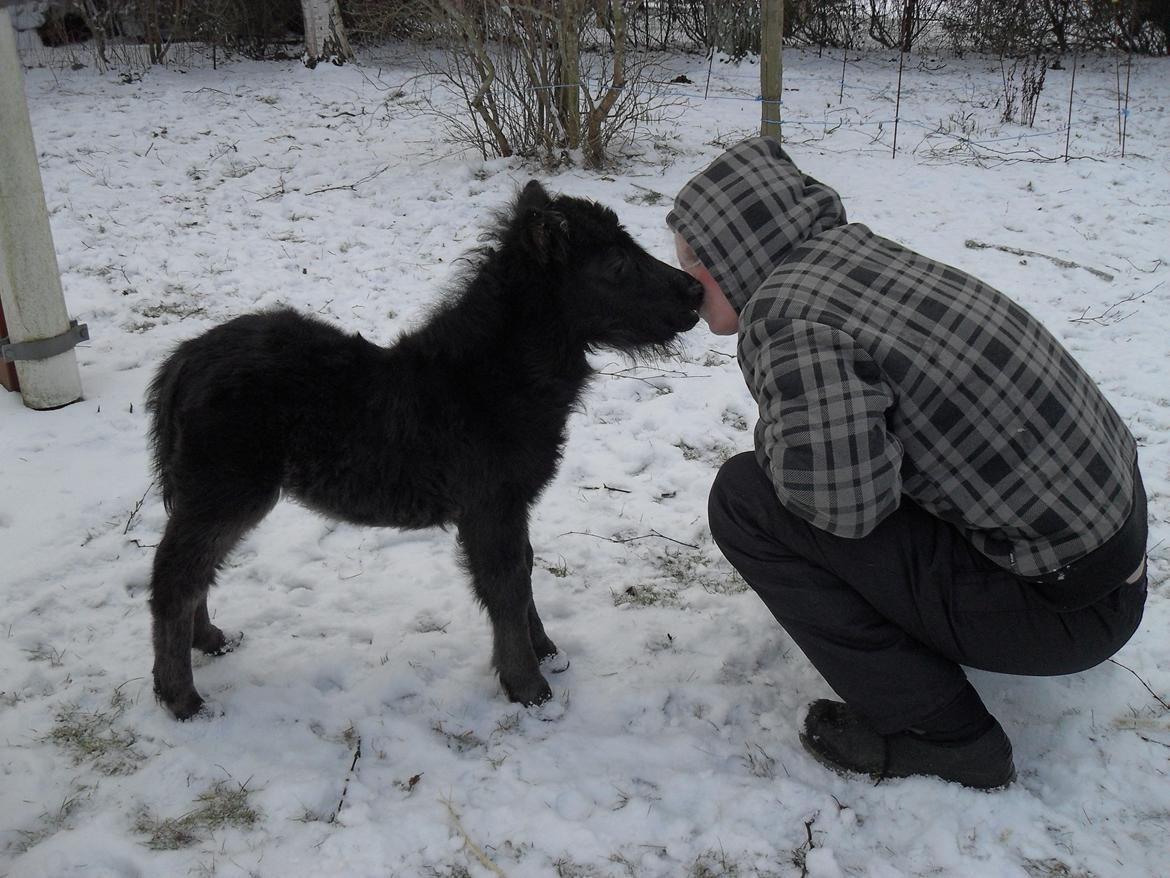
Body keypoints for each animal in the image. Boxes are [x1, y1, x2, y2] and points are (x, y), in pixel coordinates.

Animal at [141, 180, 697, 721]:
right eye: (616, 265)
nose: (694, 291)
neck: (491, 380)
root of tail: (183, 361)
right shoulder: (488, 505)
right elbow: (506, 585)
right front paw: (527, 686)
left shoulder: (509, 504)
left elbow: (525, 566)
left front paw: (543, 649)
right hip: (227, 490)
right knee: (175, 577)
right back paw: (181, 698)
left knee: (196, 569)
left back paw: (208, 640)